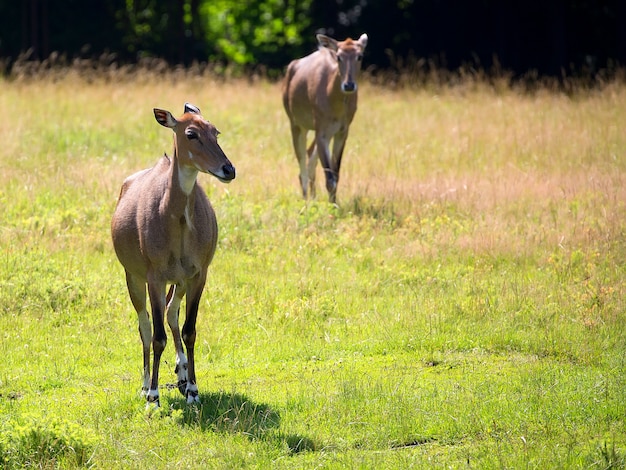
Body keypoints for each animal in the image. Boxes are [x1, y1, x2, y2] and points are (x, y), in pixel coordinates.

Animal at [109, 103, 234, 408]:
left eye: (215, 131)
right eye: (191, 133)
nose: (228, 169)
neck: (177, 220)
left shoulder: (198, 274)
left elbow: (190, 330)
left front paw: (193, 390)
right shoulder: (155, 277)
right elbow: (156, 336)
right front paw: (153, 397)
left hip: (179, 281)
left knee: (172, 313)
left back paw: (182, 374)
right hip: (134, 278)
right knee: (144, 325)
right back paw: (145, 385)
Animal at [282, 32, 366, 202]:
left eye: (360, 56)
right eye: (339, 56)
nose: (349, 85)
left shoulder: (342, 130)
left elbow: (336, 173)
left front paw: (333, 203)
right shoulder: (321, 128)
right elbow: (329, 177)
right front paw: (331, 206)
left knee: (310, 154)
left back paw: (313, 197)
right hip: (295, 122)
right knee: (302, 162)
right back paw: (306, 198)